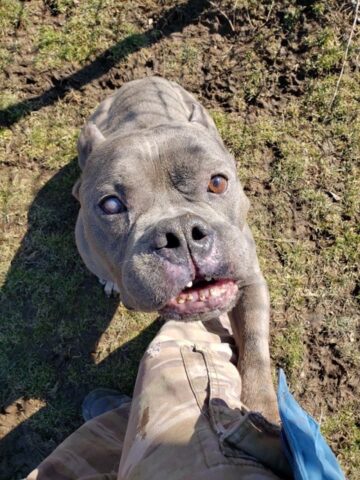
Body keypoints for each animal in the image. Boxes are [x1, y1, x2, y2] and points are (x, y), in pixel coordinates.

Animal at [71, 77, 278, 422]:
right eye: (111, 205)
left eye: (218, 182)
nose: (181, 234)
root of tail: (143, 80)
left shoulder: (249, 280)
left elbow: (255, 349)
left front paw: (264, 414)